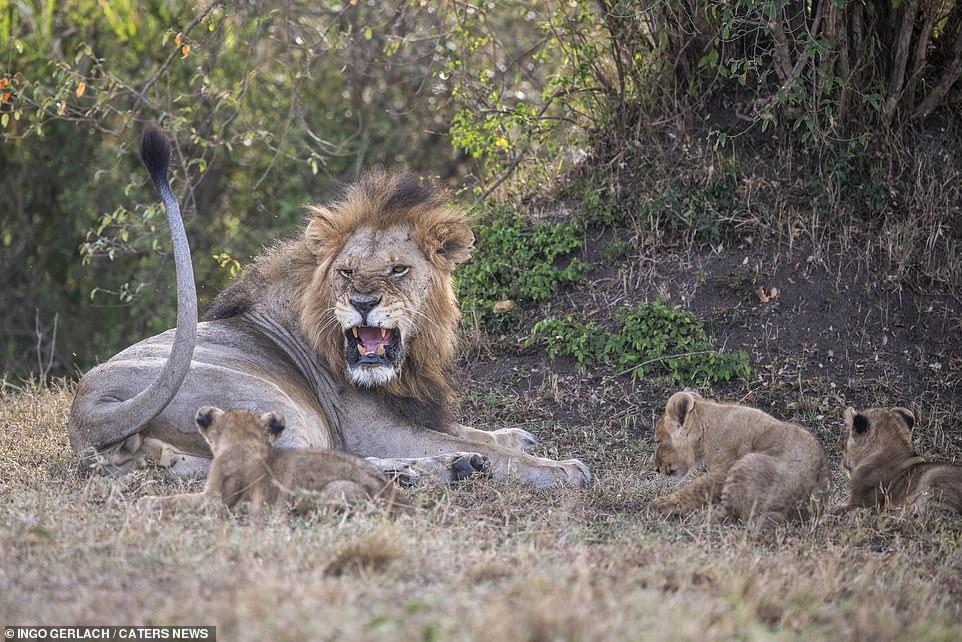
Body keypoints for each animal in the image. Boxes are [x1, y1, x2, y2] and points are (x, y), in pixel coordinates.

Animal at [65, 124, 584, 484]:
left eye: (398, 270)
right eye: (346, 272)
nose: (363, 302)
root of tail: (88, 409)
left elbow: (469, 430)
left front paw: (510, 437)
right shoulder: (370, 429)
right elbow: (492, 451)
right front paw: (558, 469)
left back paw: (434, 469)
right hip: (277, 406)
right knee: (290, 461)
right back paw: (438, 469)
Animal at [648, 390, 828, 524]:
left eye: (658, 441)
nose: (656, 468)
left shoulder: (724, 470)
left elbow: (696, 488)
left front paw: (664, 503)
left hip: (747, 462)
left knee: (728, 514)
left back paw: (697, 519)